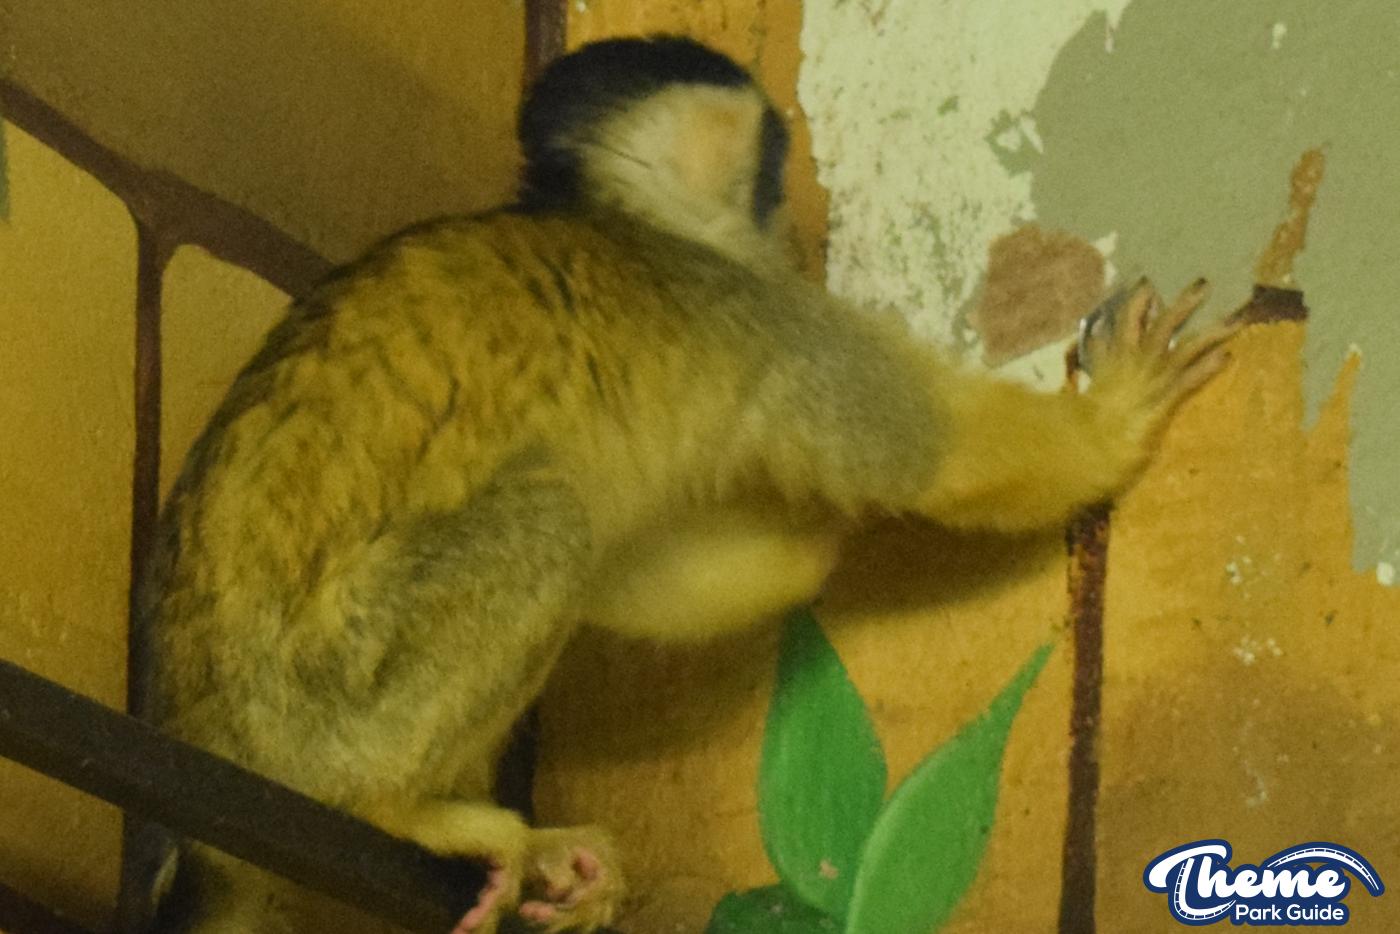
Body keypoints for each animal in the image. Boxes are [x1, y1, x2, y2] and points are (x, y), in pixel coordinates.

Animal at [135, 34, 1236, 934]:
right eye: (773, 156)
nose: (785, 209)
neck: (626, 214)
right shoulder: (757, 313)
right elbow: (936, 460)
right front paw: (1111, 420)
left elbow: (640, 574)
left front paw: (817, 534)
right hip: (317, 715)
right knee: (549, 520)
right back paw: (393, 804)